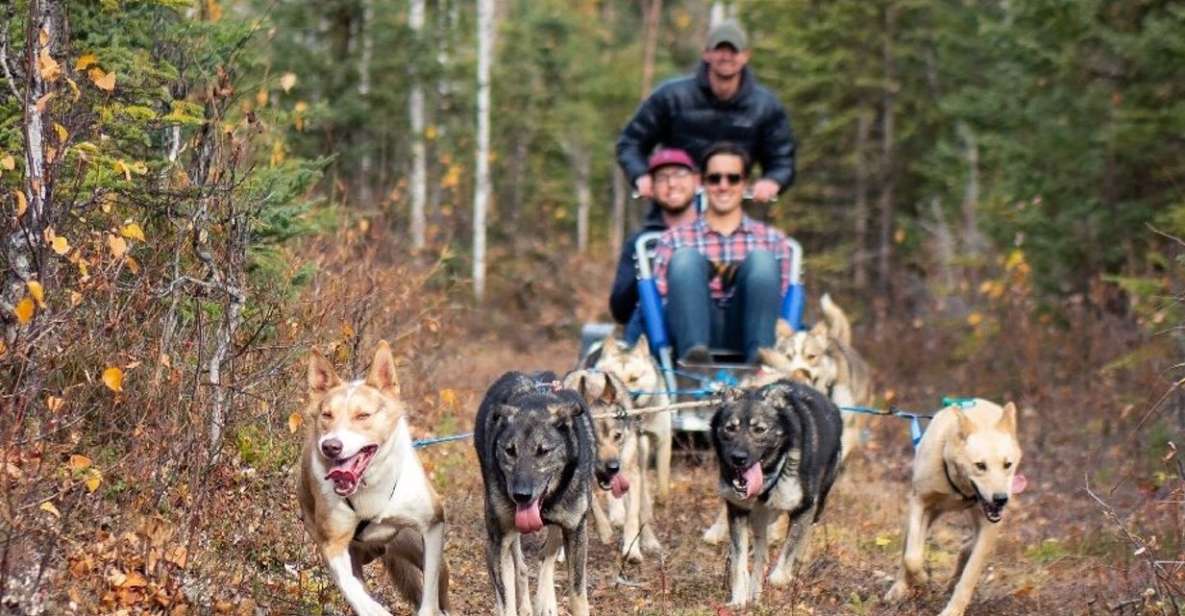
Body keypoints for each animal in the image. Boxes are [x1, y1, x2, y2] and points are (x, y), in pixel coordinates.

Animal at [296, 341, 447, 616]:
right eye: (326, 415)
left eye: (363, 416)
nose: (330, 446)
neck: (369, 486)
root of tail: (380, 550)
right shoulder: (332, 543)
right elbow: (351, 588)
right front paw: (374, 609)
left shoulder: (433, 524)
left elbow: (429, 593)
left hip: (417, 548)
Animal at [473, 369, 597, 616]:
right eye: (510, 451)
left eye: (543, 451)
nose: (521, 495)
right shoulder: (498, 540)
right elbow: (505, 599)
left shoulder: (576, 530)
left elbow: (578, 596)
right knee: (518, 567)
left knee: (545, 553)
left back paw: (545, 601)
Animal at [561, 367, 663, 566]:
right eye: (593, 439)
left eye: (617, 436)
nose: (614, 467)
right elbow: (592, 504)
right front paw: (604, 530)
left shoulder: (631, 476)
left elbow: (632, 517)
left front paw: (632, 550)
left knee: (643, 509)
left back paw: (649, 540)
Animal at [706, 379, 848, 606]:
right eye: (730, 428)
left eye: (760, 429)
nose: (738, 458)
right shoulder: (738, 511)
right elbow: (739, 561)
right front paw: (739, 597)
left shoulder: (804, 508)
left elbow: (785, 558)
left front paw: (781, 578)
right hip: (758, 518)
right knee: (761, 553)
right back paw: (754, 592)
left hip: (819, 502)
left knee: (803, 537)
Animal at [886, 400, 1023, 616]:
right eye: (980, 465)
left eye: (1007, 464)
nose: (1001, 499)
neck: (958, 488)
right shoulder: (920, 504)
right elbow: (912, 558)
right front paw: (922, 579)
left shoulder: (990, 526)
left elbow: (970, 574)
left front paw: (953, 609)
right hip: (924, 515)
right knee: (906, 552)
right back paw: (899, 588)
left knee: (968, 548)